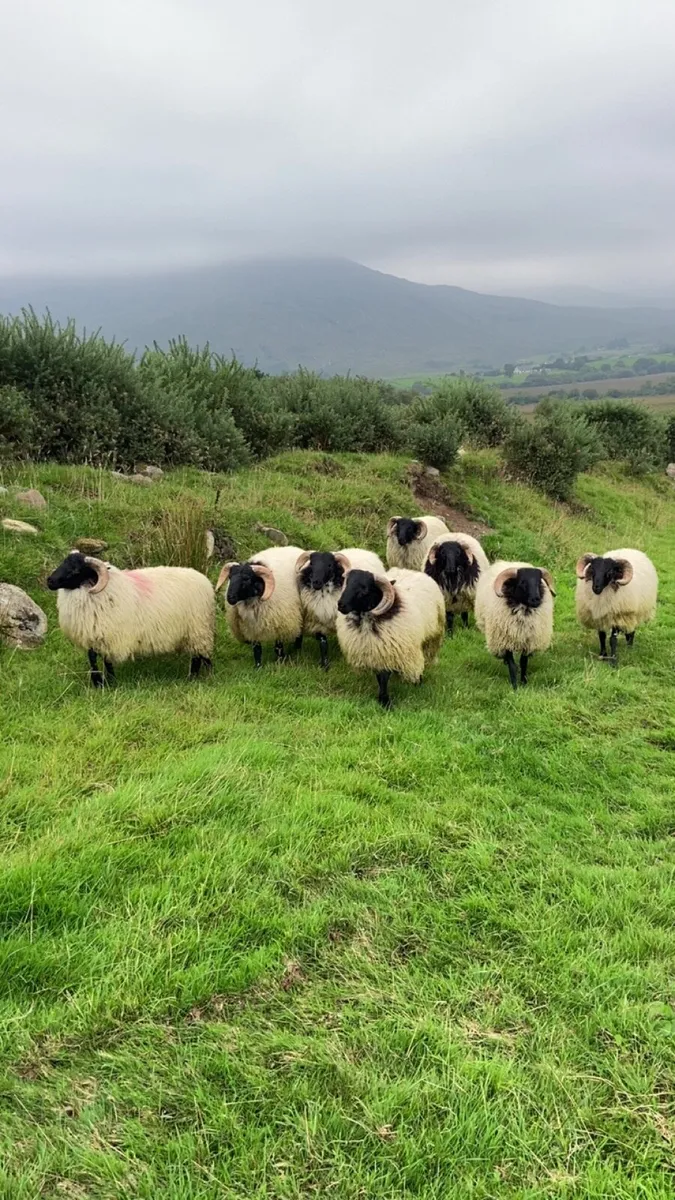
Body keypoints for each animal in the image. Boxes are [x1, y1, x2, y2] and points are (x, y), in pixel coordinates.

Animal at [47, 552, 215, 686]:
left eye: (75, 570)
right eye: (63, 562)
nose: (49, 581)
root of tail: (203, 579)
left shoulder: (110, 637)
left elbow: (106, 661)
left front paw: (110, 682)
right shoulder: (93, 635)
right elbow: (92, 657)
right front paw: (97, 682)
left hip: (197, 629)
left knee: (198, 655)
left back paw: (196, 676)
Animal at [336, 567, 445, 708]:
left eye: (364, 589)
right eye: (347, 584)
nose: (340, 605)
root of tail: (409, 570)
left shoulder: (389, 649)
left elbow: (384, 675)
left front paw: (386, 701)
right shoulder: (377, 652)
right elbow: (380, 677)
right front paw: (383, 698)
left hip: (431, 637)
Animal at [474, 560, 555, 690]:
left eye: (539, 582)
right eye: (522, 582)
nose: (536, 599)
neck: (524, 611)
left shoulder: (528, 642)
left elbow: (523, 663)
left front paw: (524, 682)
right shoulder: (505, 641)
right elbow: (512, 665)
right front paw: (515, 686)